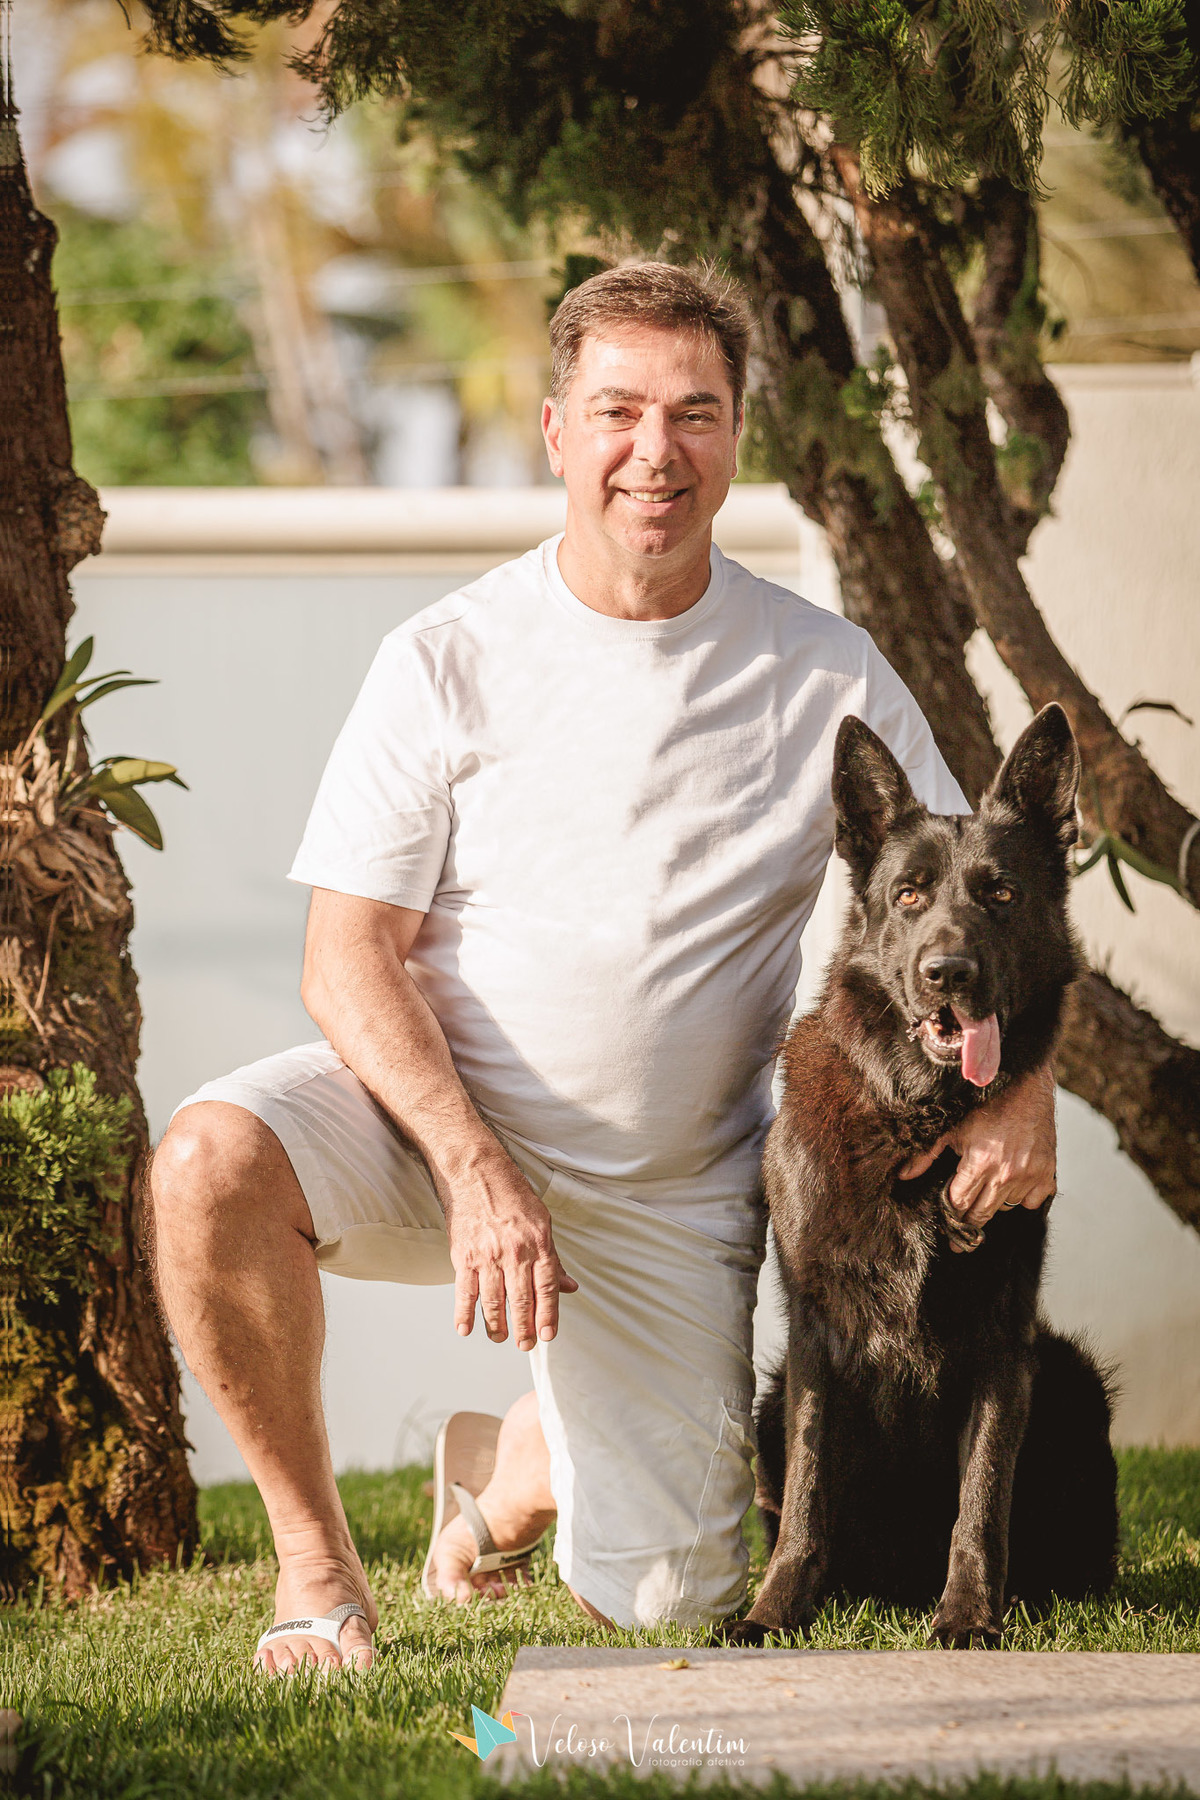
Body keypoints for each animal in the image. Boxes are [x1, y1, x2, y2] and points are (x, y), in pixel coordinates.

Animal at [732, 702, 1118, 1647]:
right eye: (909, 894)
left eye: (1002, 895)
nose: (949, 974)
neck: (917, 1118)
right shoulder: (813, 1340)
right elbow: (807, 1494)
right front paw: (773, 1612)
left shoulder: (1003, 1340)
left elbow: (981, 1496)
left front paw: (970, 1615)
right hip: (766, 1401)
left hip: (1071, 1376)